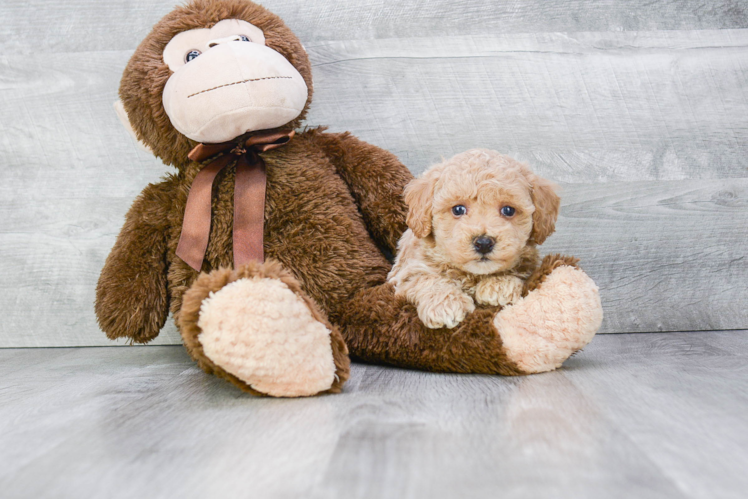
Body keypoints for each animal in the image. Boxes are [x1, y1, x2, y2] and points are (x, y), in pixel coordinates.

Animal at [388, 150, 560, 330]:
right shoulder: (404, 273)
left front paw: (499, 284)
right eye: (458, 209)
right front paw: (446, 304)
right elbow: (424, 278)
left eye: (508, 210)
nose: (483, 243)